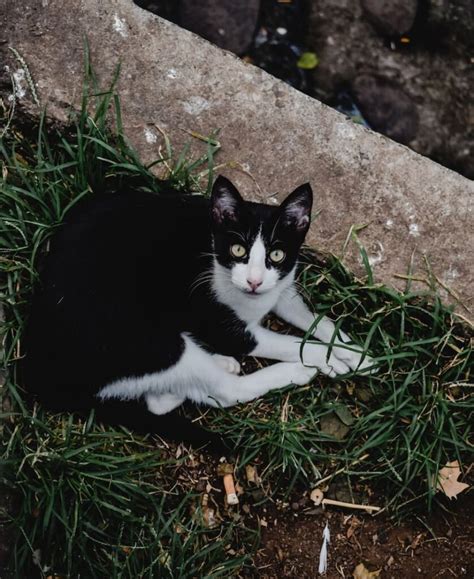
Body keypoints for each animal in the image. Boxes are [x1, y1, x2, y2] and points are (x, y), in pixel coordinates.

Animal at [23, 177, 374, 444]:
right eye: (238, 249)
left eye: (276, 254)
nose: (254, 281)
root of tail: (43, 373)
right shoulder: (219, 323)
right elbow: (286, 341)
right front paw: (325, 358)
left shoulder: (281, 285)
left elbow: (310, 316)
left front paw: (354, 353)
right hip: (148, 341)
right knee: (225, 392)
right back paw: (292, 372)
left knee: (159, 401)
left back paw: (209, 371)